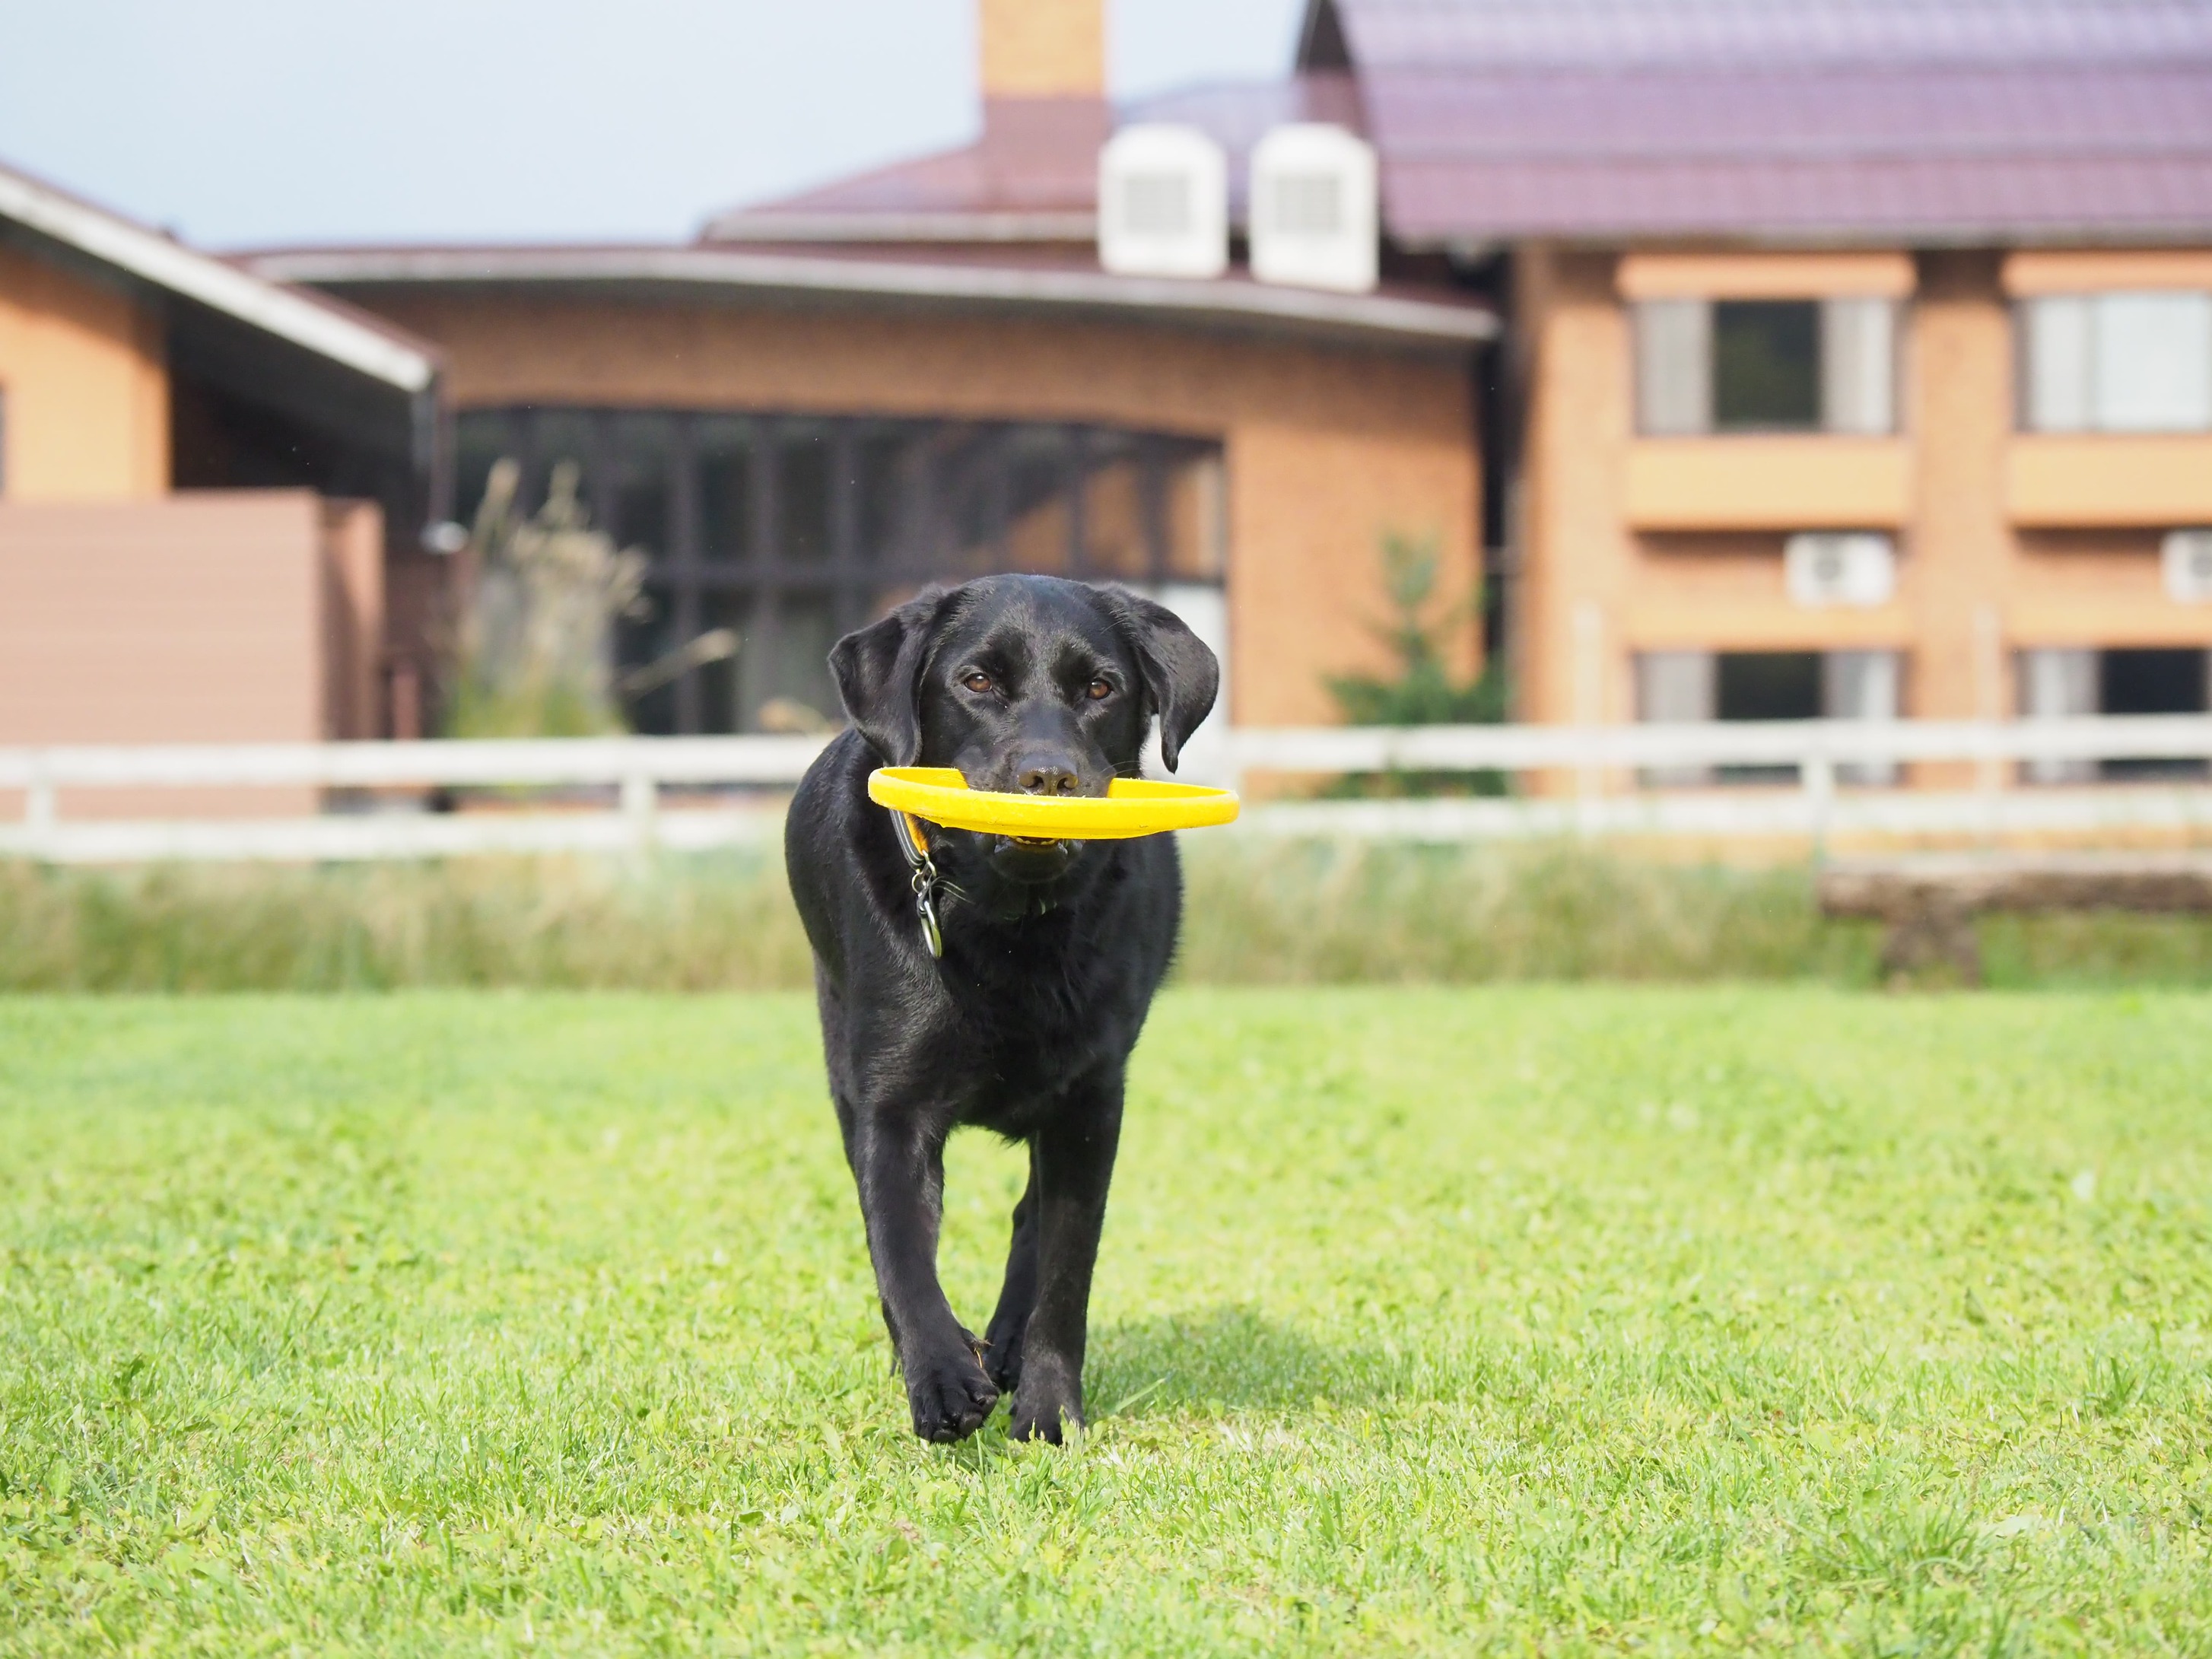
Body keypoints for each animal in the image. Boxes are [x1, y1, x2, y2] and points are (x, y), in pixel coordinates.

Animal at [787, 579, 1221, 1451]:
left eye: (1100, 688)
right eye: (977, 682)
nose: (1047, 775)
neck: (1014, 928)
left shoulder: (1092, 1106)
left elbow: (1063, 1265)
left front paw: (1050, 1408)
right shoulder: (891, 1106)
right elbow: (900, 1250)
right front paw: (942, 1376)